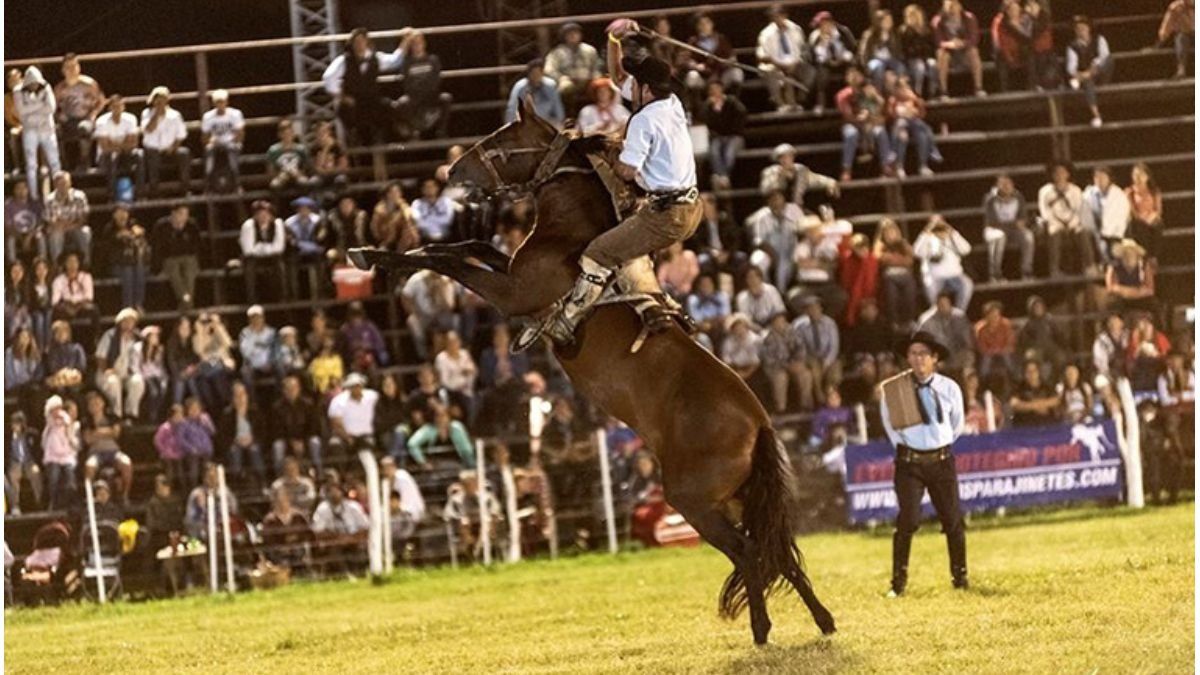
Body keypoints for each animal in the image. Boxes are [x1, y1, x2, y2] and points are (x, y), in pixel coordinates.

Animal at [350, 96, 835, 638]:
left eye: (502, 138)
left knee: (750, 552)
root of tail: (759, 423)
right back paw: (823, 621)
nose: (452, 169)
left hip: (694, 501)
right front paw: (394, 252)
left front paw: (372, 254)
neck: (570, 236)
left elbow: (452, 260)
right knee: (779, 554)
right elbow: (464, 248)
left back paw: (762, 629)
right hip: (737, 498)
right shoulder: (509, 270)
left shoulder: (512, 293)